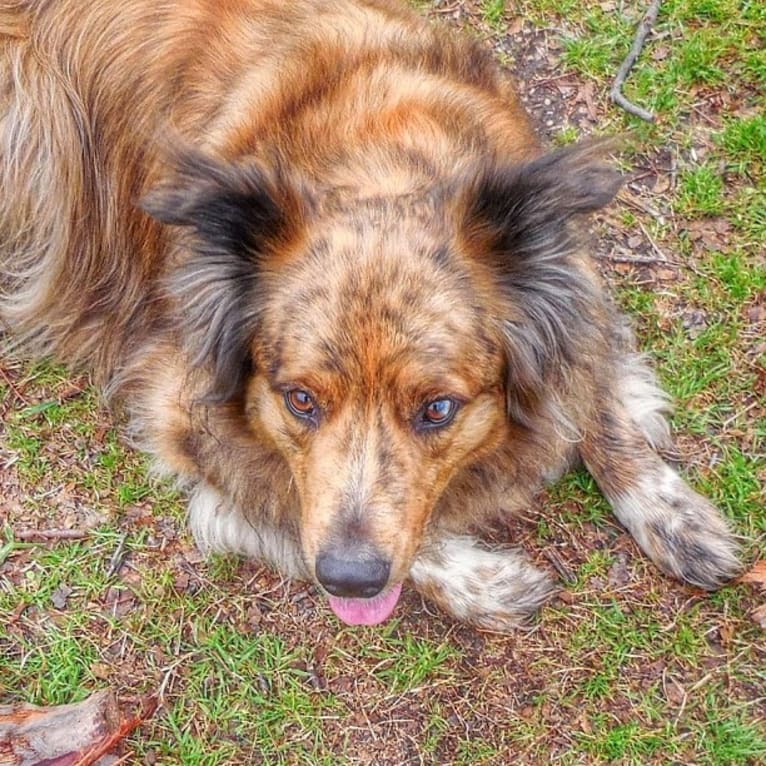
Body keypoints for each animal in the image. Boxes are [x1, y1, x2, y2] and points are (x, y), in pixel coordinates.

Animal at [0, 0, 744, 632]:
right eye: (299, 400)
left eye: (438, 410)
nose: (349, 581)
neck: (381, 170)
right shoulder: (177, 403)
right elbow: (289, 501)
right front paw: (480, 582)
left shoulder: (569, 279)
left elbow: (595, 398)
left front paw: (676, 516)